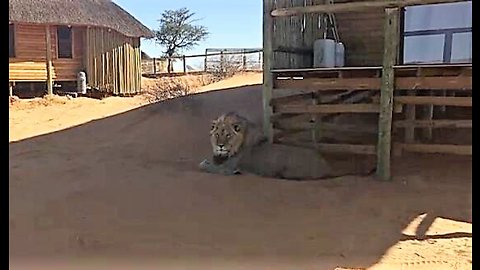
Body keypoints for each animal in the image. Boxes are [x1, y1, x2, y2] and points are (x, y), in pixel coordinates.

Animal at [200, 110, 338, 180]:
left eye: (228, 135)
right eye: (217, 135)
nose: (220, 146)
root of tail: (328, 167)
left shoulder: (227, 168)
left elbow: (208, 166)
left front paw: (204, 163)